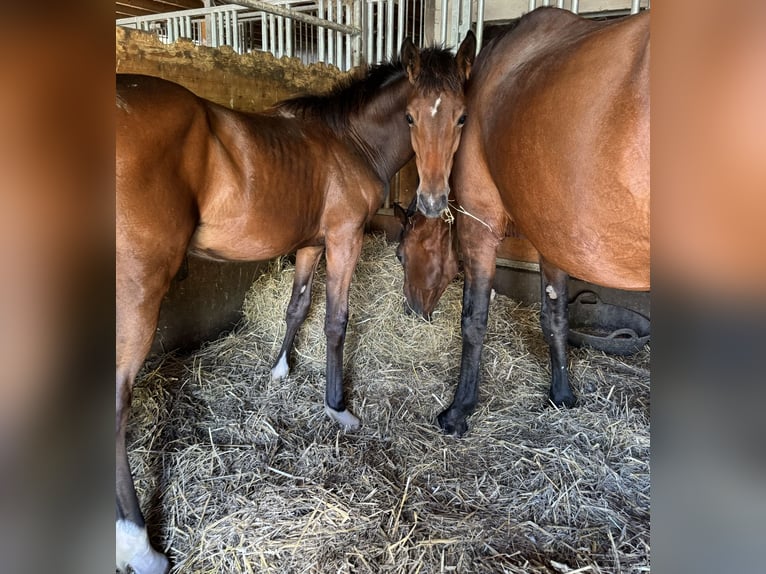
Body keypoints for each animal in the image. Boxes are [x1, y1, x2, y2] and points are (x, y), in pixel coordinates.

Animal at [117, 36, 476, 574]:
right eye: (411, 117)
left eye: (461, 117)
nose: (433, 199)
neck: (349, 141)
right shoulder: (344, 238)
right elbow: (335, 321)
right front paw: (337, 408)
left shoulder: (311, 245)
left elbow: (298, 306)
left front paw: (280, 370)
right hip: (137, 289)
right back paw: (139, 545)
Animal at [402, 6, 648, 436]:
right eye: (409, 118)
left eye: (402, 254)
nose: (412, 310)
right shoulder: (555, 240)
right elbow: (556, 318)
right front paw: (562, 395)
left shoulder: (480, 228)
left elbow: (474, 319)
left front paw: (459, 409)